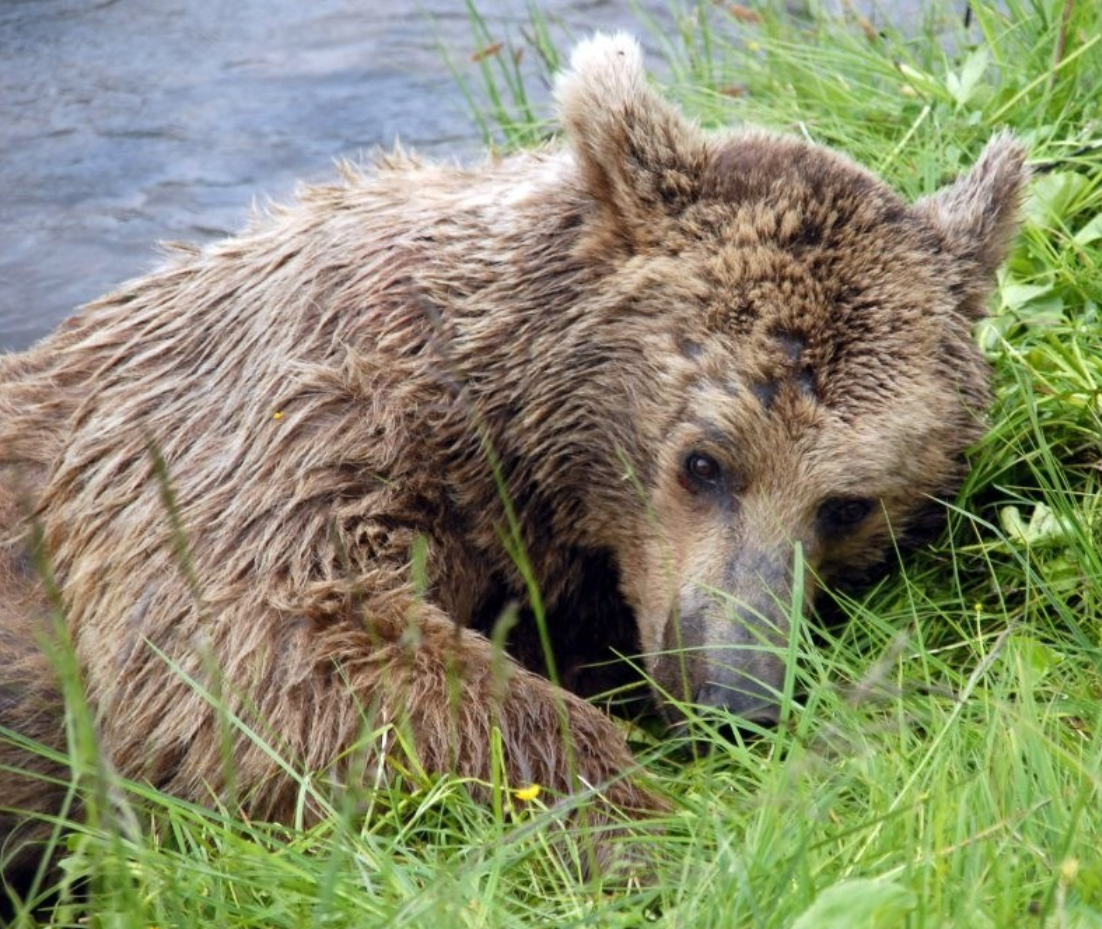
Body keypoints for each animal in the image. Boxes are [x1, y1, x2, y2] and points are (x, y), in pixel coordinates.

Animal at [0, 32, 1026, 890]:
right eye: (705, 462)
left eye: (849, 503)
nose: (737, 698)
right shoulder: (274, 429)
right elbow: (265, 641)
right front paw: (631, 816)